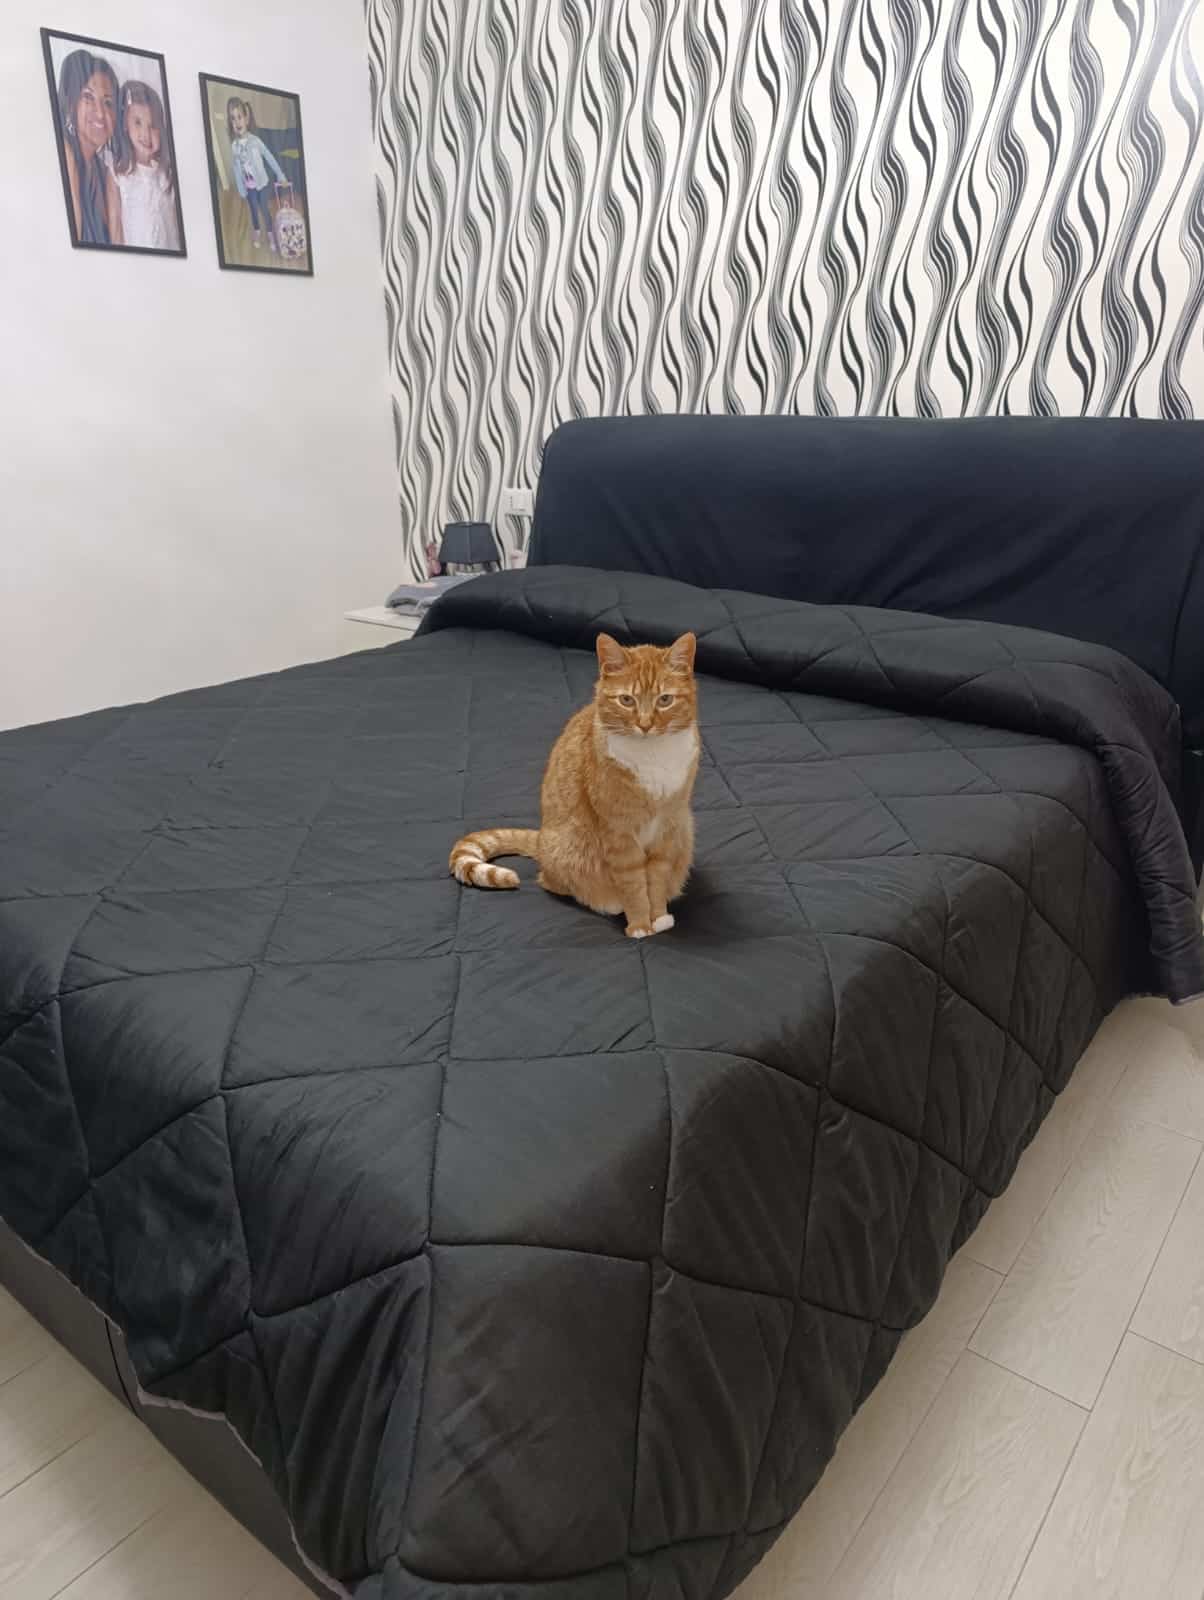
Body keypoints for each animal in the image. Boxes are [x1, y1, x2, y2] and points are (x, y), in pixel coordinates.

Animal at [450, 631, 699, 938]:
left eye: (665, 699)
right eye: (626, 700)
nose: (645, 724)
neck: (652, 755)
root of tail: (541, 838)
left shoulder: (668, 828)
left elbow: (656, 879)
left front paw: (659, 916)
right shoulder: (619, 834)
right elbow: (633, 885)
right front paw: (640, 925)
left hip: (685, 830)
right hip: (571, 851)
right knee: (550, 881)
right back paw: (608, 903)